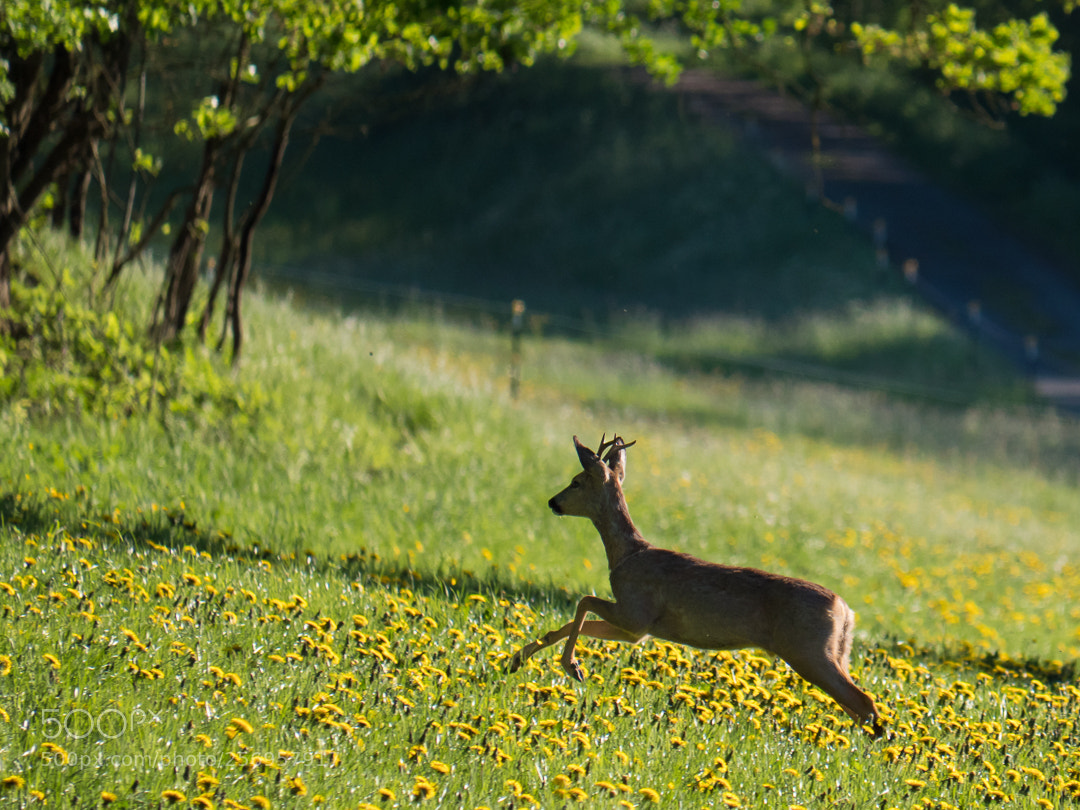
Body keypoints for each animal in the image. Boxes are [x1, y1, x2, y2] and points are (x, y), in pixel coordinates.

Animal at [507, 434, 882, 737]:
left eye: (576, 481)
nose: (553, 502)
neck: (626, 555)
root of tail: (845, 610)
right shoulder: (637, 630)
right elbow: (572, 623)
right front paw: (519, 659)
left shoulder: (636, 612)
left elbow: (583, 600)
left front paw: (571, 667)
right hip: (834, 651)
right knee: (857, 705)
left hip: (808, 650)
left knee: (863, 702)